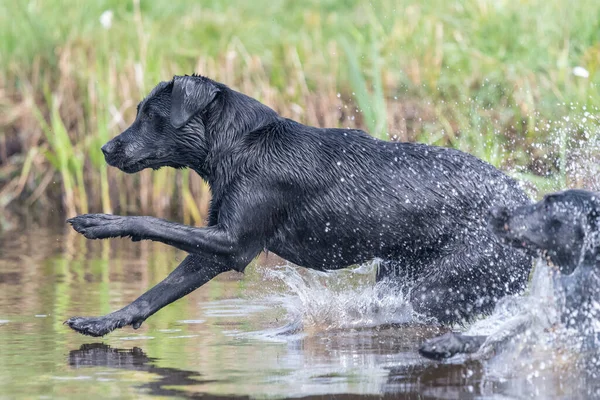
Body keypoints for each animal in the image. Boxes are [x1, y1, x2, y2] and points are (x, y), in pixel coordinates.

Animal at [64, 73, 528, 336]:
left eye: (150, 115)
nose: (105, 149)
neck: (240, 145)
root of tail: (526, 203)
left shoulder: (234, 242)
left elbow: (152, 222)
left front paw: (100, 223)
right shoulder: (217, 252)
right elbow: (157, 292)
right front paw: (101, 322)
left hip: (440, 286)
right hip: (401, 271)